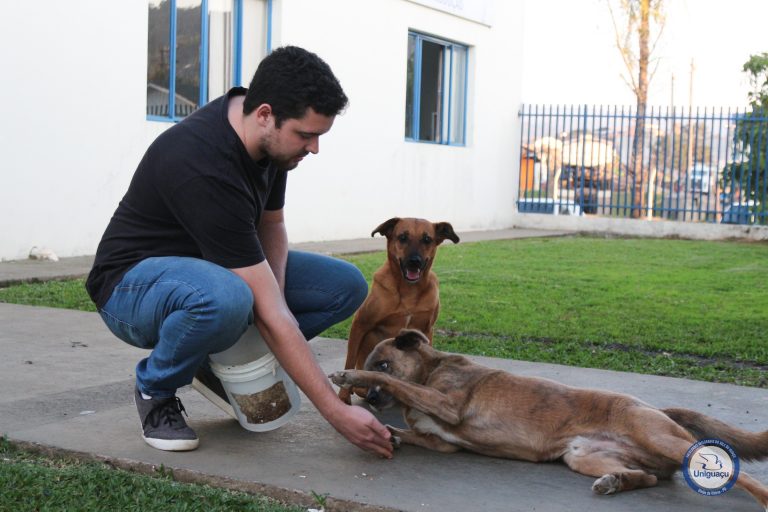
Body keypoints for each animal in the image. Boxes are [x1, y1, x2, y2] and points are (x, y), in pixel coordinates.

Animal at [330, 330, 768, 510]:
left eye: (382, 363)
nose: (370, 400)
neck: (430, 370)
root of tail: (658, 409)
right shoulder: (442, 441)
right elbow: (409, 431)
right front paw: (389, 433)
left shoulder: (447, 404)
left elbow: (400, 386)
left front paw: (350, 375)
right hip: (583, 457)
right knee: (648, 477)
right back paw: (615, 482)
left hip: (660, 437)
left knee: (741, 473)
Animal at [340, 218, 460, 406]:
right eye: (402, 237)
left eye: (427, 239)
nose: (414, 261)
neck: (409, 290)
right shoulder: (360, 323)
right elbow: (349, 362)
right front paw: (343, 397)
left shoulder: (427, 329)